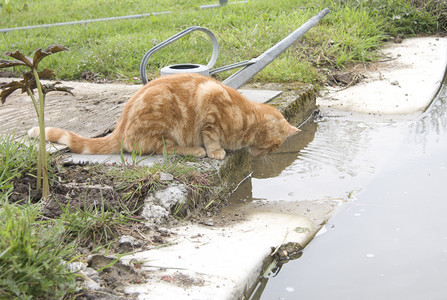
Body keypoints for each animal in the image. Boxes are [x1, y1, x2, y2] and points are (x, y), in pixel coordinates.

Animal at [28, 72, 300, 159]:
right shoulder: (211, 101)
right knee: (163, 149)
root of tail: (120, 127)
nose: (267, 155)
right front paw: (216, 151)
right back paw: (196, 150)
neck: (246, 118)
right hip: (164, 121)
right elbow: (211, 136)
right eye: (274, 146)